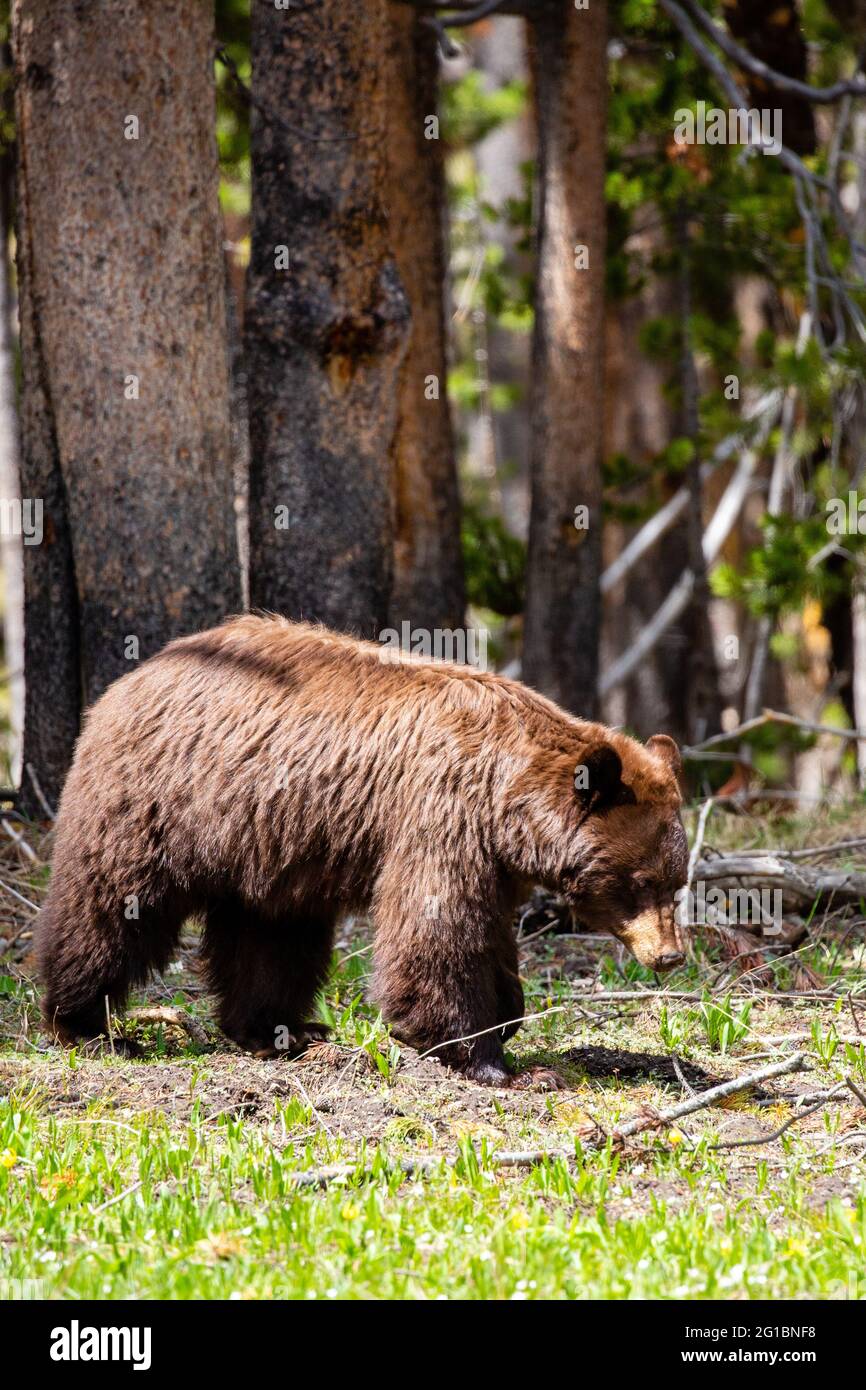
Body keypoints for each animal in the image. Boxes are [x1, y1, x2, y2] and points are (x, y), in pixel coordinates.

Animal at [38, 617, 692, 1084]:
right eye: (639, 881)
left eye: (676, 881)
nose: (670, 956)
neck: (507, 796)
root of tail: (131, 678)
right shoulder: (440, 815)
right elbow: (436, 929)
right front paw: (484, 1058)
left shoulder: (495, 857)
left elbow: (489, 934)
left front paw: (507, 1015)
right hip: (153, 803)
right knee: (110, 906)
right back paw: (88, 1024)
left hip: (267, 836)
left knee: (272, 934)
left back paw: (283, 1030)